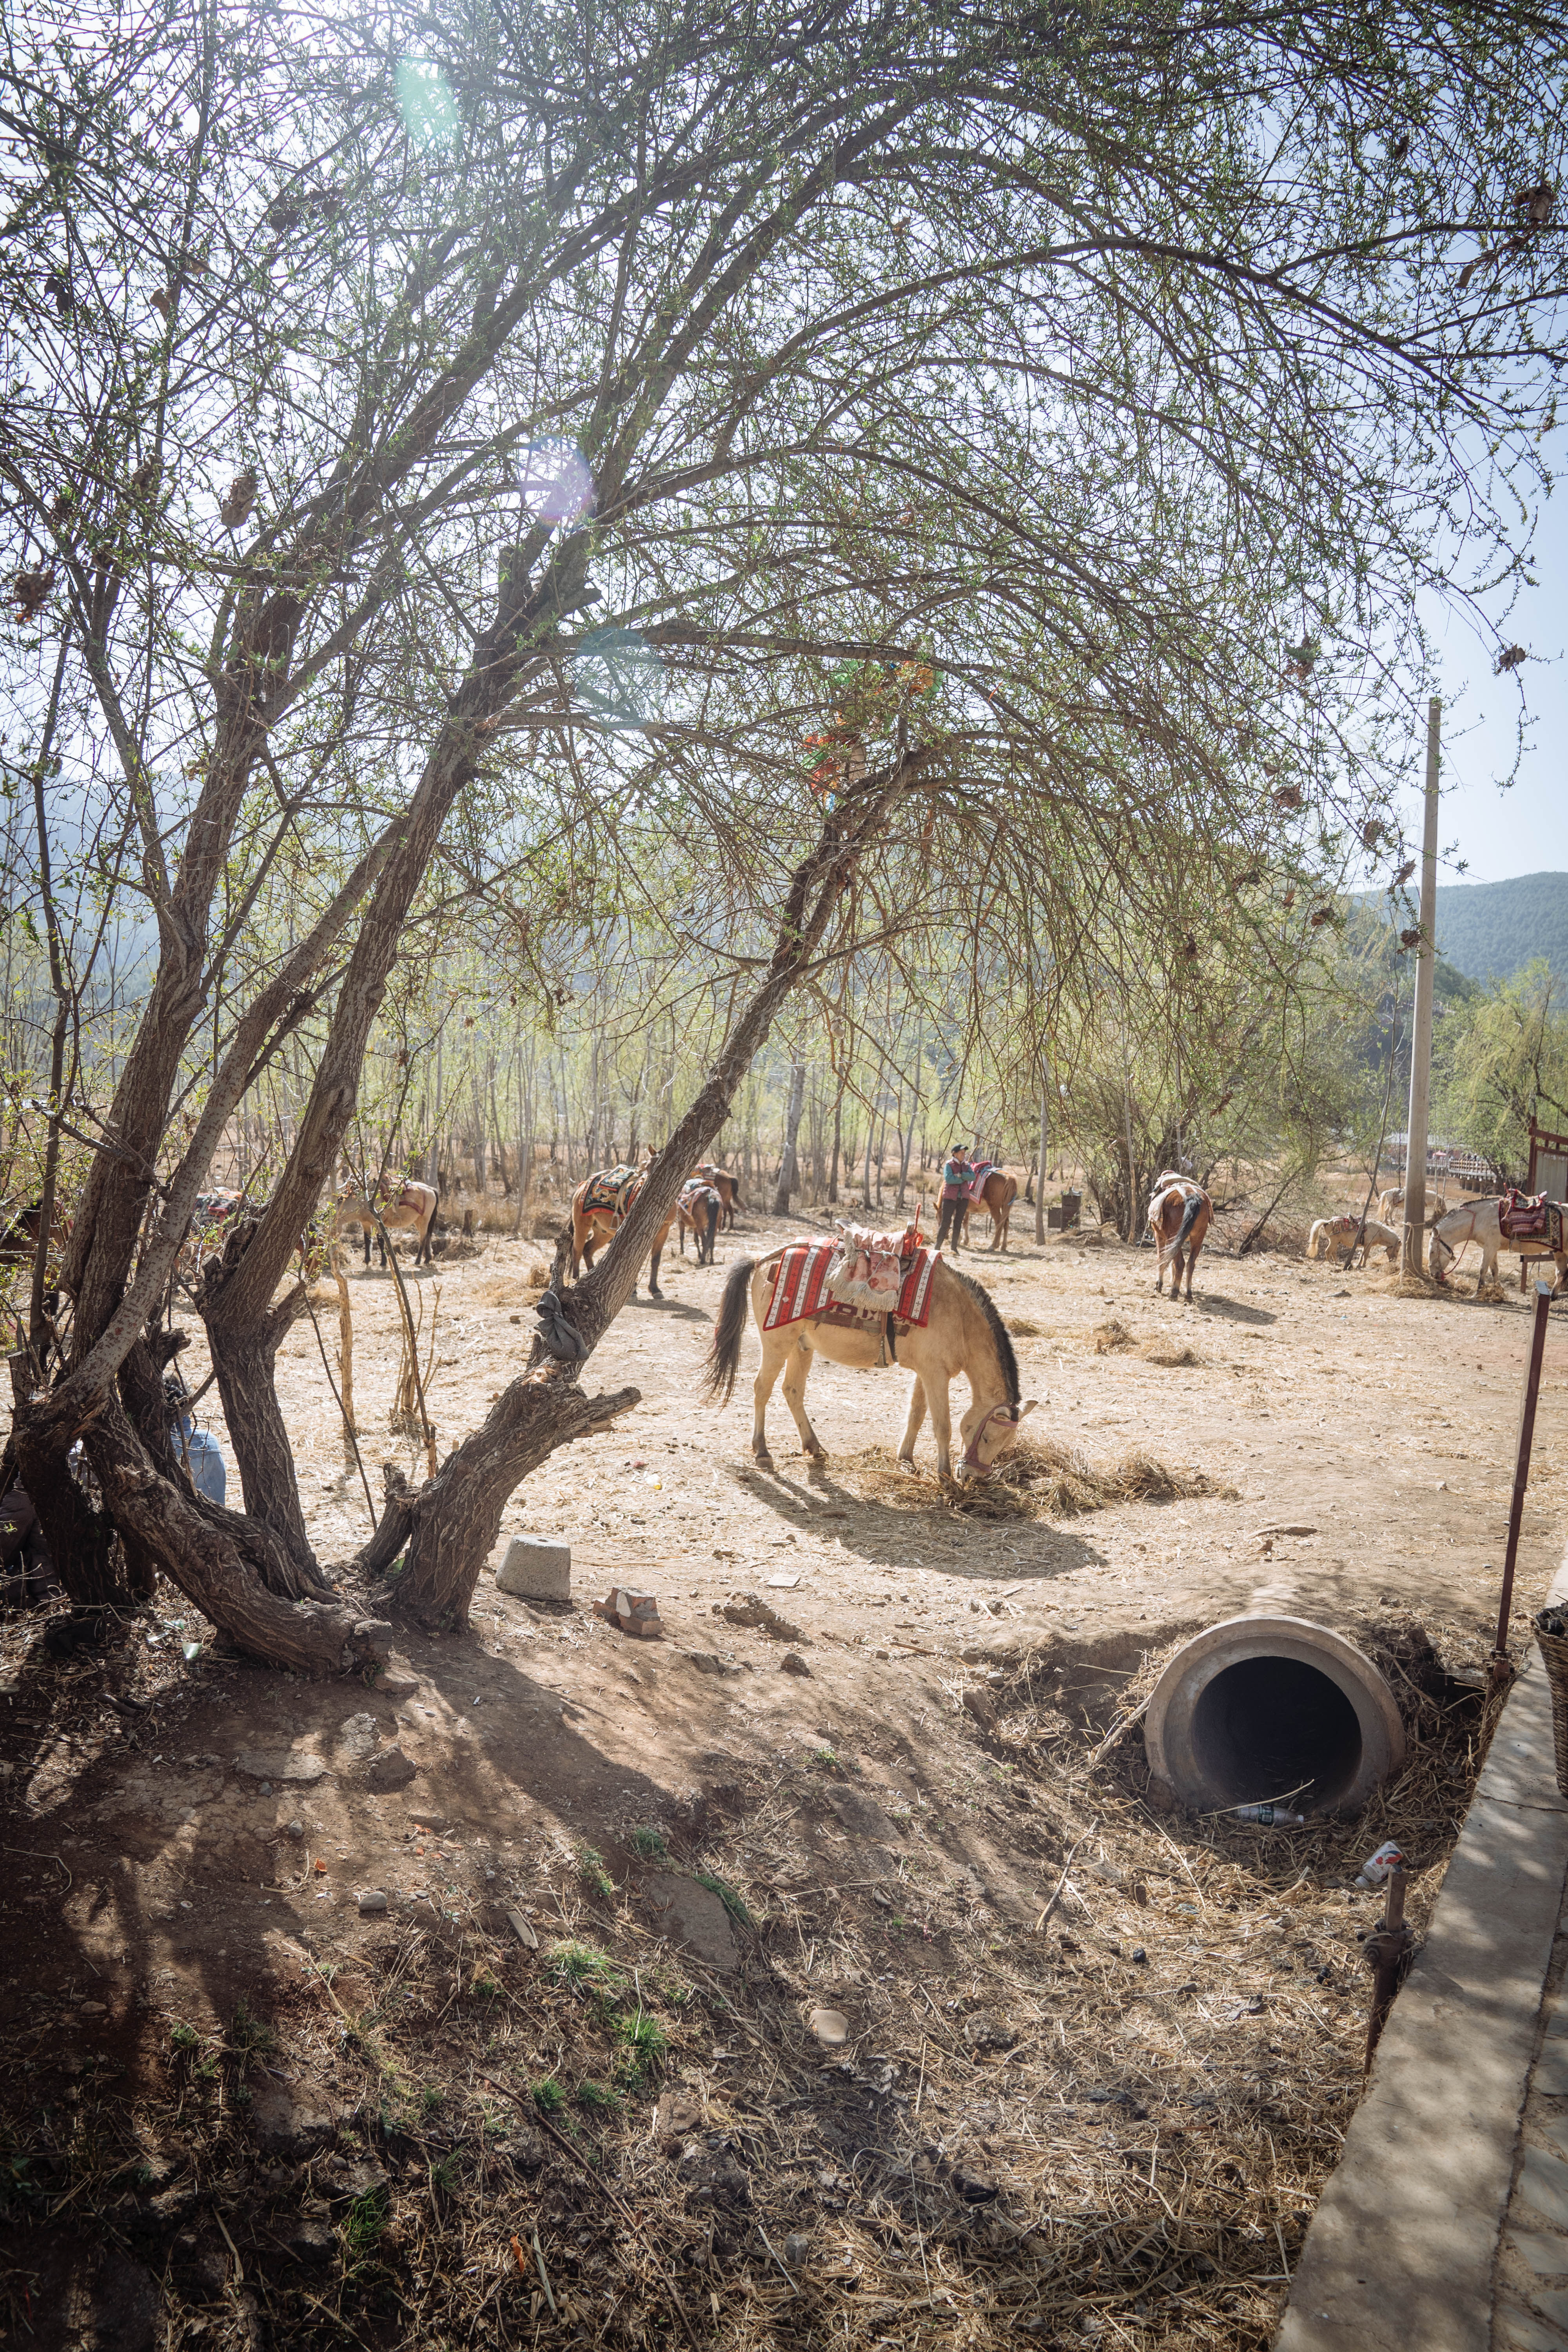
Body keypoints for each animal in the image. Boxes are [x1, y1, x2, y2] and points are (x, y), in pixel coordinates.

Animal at [334, 1176, 439, 1270]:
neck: (365, 1200)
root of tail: (431, 1189)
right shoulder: (366, 1223)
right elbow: (367, 1241)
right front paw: (367, 1260)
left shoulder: (378, 1223)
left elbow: (381, 1241)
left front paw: (383, 1262)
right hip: (419, 1221)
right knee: (428, 1236)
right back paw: (428, 1259)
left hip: (424, 1220)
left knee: (423, 1239)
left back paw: (418, 1261)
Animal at [677, 1176, 724, 1270]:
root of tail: (712, 1197)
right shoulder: (695, 1226)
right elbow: (696, 1239)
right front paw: (699, 1255)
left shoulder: (681, 1222)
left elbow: (682, 1237)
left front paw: (682, 1252)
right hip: (715, 1224)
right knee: (712, 1241)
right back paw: (711, 1260)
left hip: (700, 1225)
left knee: (705, 1241)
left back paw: (703, 1260)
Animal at [705, 1242, 1034, 1477]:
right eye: (987, 1438)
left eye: (1006, 1443)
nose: (974, 1477)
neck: (960, 1317)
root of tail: (762, 1261)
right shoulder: (936, 1376)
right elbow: (943, 1426)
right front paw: (945, 1477)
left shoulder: (926, 1373)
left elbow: (916, 1414)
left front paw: (906, 1460)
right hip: (777, 1344)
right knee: (762, 1388)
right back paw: (762, 1451)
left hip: (802, 1347)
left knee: (793, 1391)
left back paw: (814, 1446)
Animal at [1147, 1176, 1222, 1308]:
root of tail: (1192, 1197)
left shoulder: (1160, 1237)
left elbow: (1162, 1259)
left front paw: (1159, 1285)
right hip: (1198, 1238)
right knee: (1190, 1264)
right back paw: (1188, 1294)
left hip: (1172, 1237)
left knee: (1180, 1263)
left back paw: (1174, 1292)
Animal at [1439, 1204, 1568, 1298]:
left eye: (1435, 1252)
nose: (1435, 1275)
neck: (1481, 1219)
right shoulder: (1491, 1248)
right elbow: (1494, 1269)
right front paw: (1498, 1290)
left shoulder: (1490, 1247)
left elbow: (1483, 1269)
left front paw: (1478, 1292)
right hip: (1559, 1252)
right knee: (1561, 1272)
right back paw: (1553, 1296)